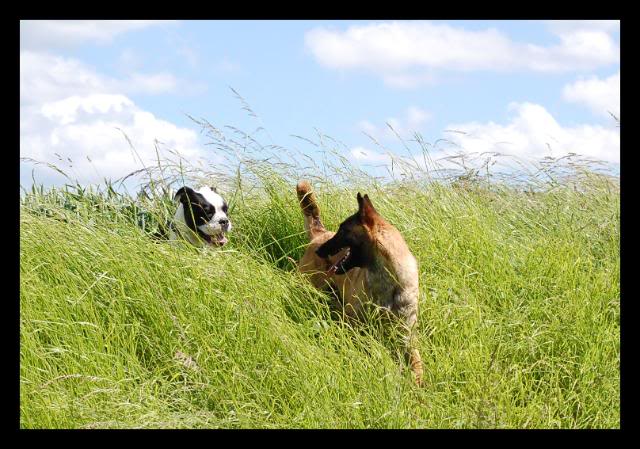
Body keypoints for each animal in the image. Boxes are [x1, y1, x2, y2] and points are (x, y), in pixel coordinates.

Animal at [296, 180, 424, 384]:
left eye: (342, 230)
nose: (320, 251)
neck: (388, 281)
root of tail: (320, 234)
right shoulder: (355, 326)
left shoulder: (406, 334)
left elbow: (417, 363)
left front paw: (417, 384)